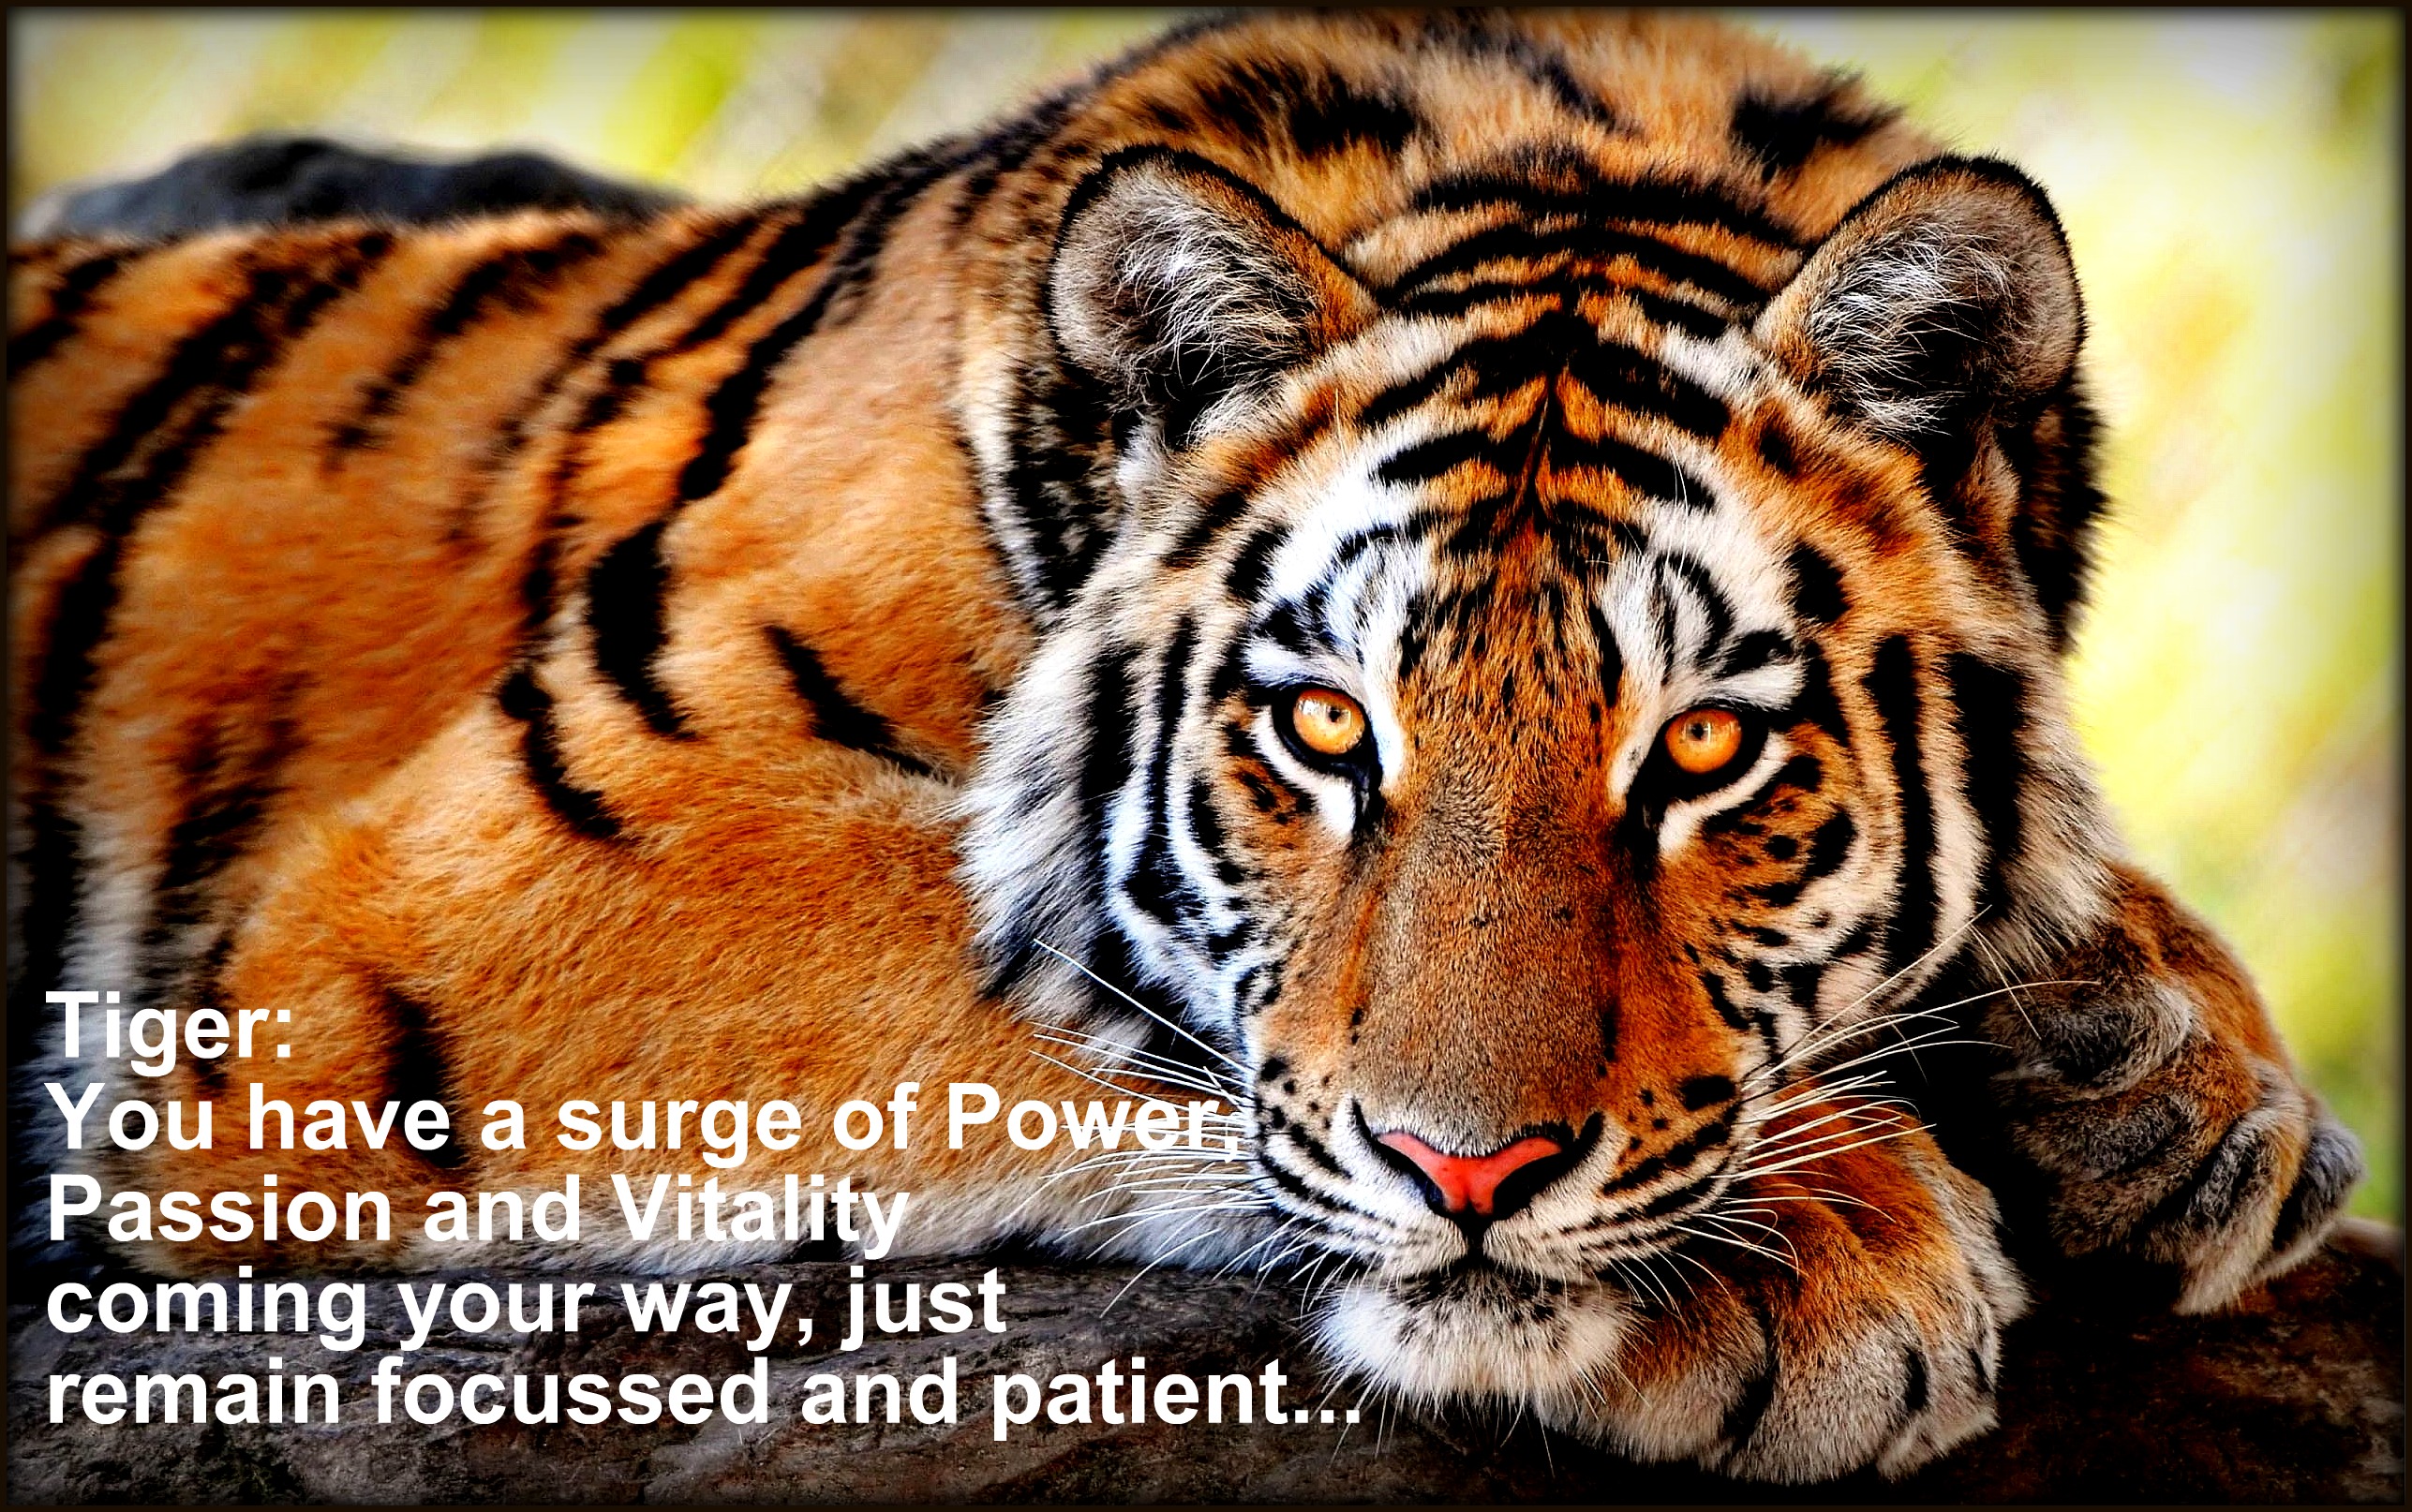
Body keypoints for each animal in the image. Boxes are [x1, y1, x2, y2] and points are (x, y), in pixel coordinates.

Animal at [8, 10, 2364, 1484]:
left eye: (1703, 752)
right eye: (1321, 728)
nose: (1473, 1180)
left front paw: (2159, 1071)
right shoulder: (487, 894)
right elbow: (1097, 988)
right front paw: (1820, 1246)